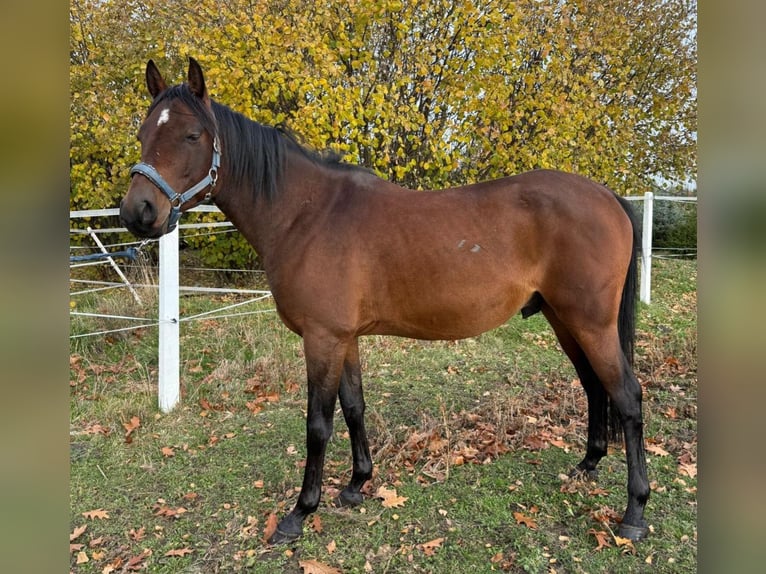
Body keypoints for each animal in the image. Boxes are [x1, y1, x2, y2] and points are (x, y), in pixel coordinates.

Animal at [119, 58, 650, 544]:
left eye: (192, 135)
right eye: (143, 131)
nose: (137, 212)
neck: (306, 215)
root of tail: (607, 196)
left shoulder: (322, 339)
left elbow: (317, 424)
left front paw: (300, 512)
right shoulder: (344, 337)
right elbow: (354, 406)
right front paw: (357, 483)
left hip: (590, 323)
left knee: (627, 395)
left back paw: (634, 513)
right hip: (564, 319)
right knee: (594, 385)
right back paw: (588, 462)